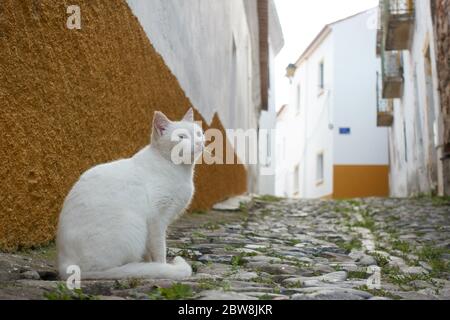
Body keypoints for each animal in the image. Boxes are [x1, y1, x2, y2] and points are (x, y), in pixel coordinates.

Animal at [56, 109, 206, 278]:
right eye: (181, 137)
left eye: (199, 133)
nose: (199, 143)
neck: (179, 169)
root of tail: (66, 265)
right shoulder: (156, 220)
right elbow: (159, 250)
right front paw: (162, 267)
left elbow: (149, 253)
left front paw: (151, 265)